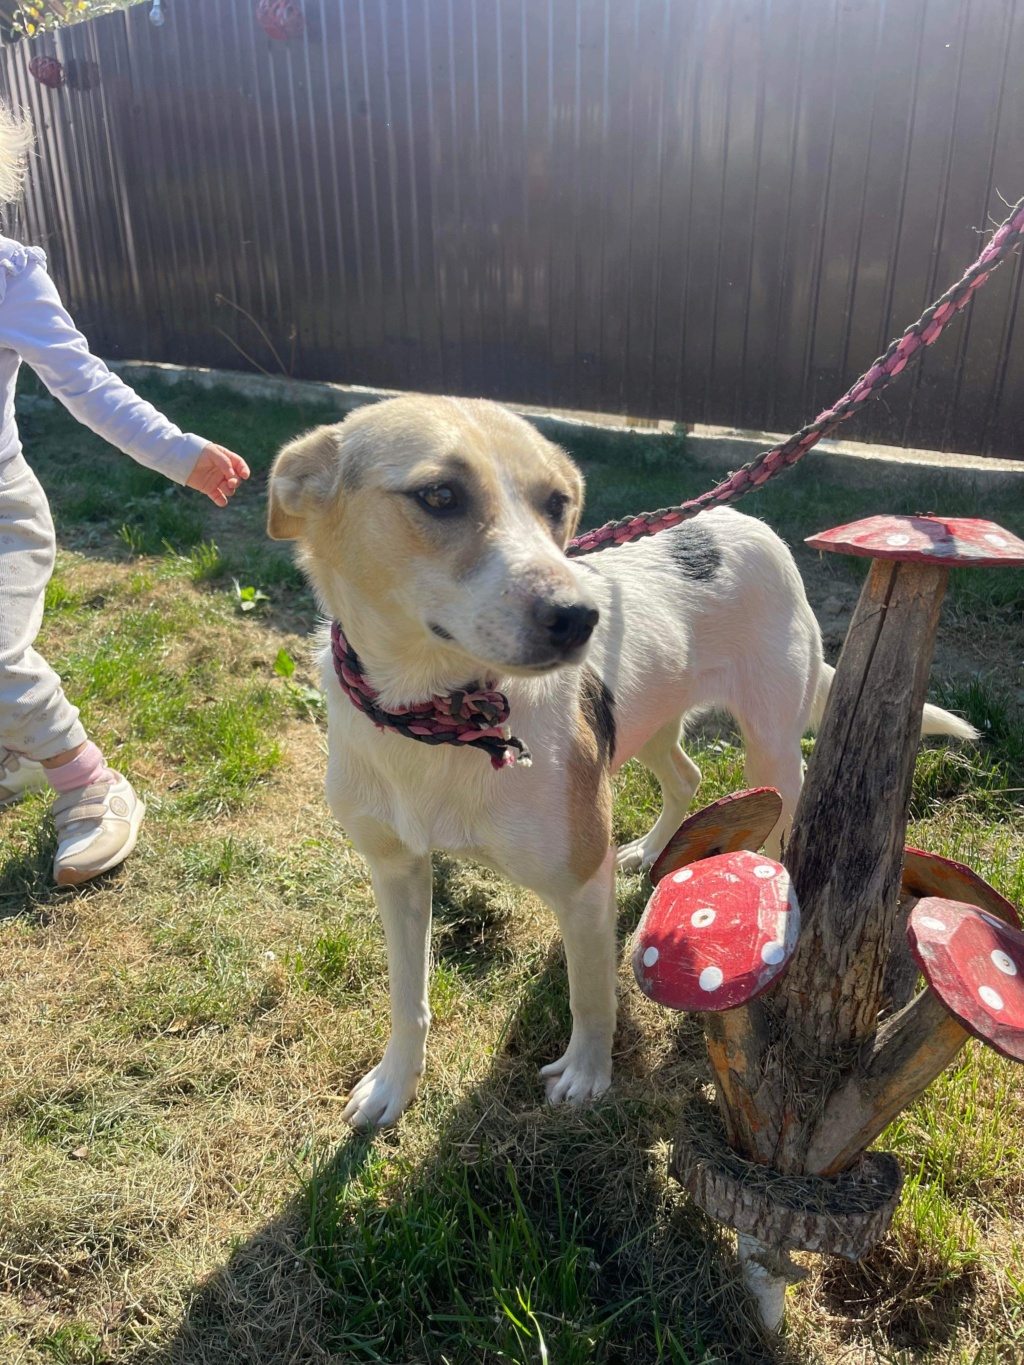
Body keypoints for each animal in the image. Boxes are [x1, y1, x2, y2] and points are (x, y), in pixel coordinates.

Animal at [266, 395, 977, 1130]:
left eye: (557, 503)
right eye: (439, 495)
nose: (581, 616)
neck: (436, 716)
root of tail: (742, 519)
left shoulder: (582, 882)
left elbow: (590, 992)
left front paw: (586, 1073)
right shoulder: (396, 870)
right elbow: (408, 996)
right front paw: (394, 1083)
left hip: (770, 742)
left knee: (786, 805)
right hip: (647, 720)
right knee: (688, 775)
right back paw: (653, 849)